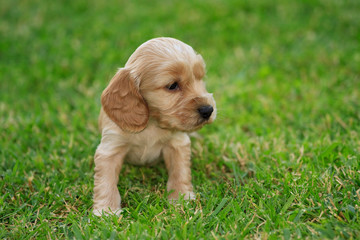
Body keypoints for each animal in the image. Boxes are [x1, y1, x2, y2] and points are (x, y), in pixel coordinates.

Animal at [93, 37, 217, 216]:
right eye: (172, 85)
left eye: (200, 79)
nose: (208, 110)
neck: (152, 122)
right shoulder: (110, 148)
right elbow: (106, 181)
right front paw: (106, 211)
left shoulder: (177, 143)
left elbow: (180, 172)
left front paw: (181, 199)